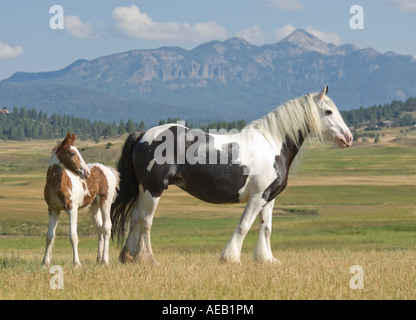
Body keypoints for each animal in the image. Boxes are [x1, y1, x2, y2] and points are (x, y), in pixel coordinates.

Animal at [41, 132, 118, 268]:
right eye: (72, 153)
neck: (57, 184)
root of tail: (108, 169)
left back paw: (104, 260)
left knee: (107, 227)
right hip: (94, 206)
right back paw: (98, 259)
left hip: (105, 202)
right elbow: (50, 236)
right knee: (99, 228)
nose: (86, 172)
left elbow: (73, 236)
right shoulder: (53, 209)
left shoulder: (72, 209)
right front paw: (45, 263)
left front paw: (76, 263)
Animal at [110, 87, 352, 262]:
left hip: (143, 189)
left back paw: (128, 257)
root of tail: (143, 134)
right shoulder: (257, 197)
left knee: (134, 218)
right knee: (145, 220)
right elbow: (244, 226)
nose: (348, 138)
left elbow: (266, 227)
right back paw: (148, 258)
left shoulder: (269, 198)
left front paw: (266, 259)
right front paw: (230, 258)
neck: (272, 144)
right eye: (328, 112)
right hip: (154, 189)